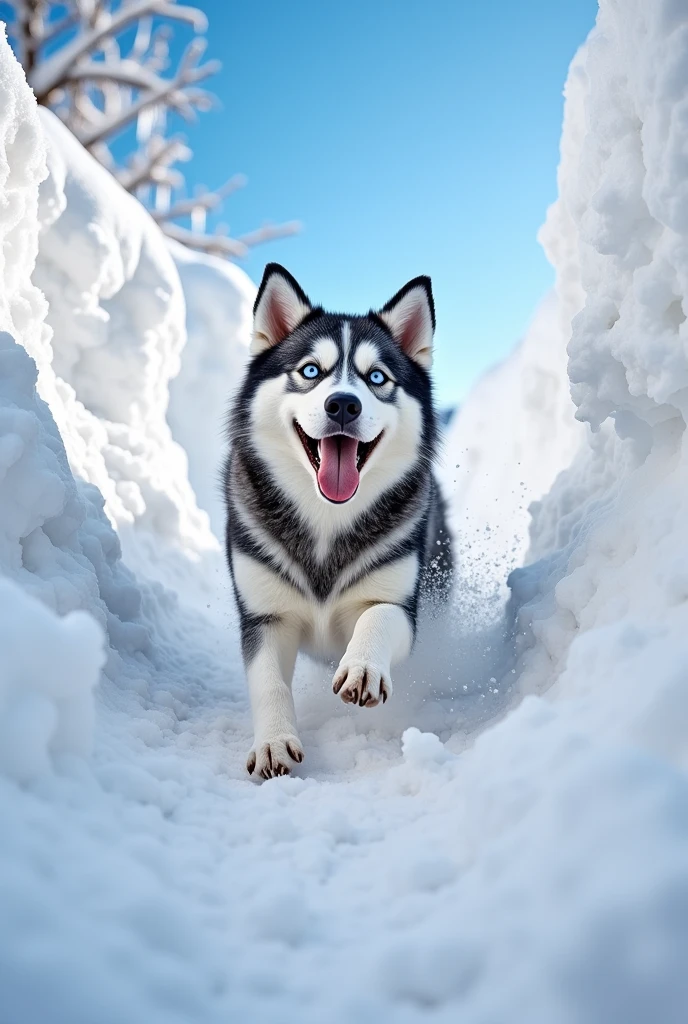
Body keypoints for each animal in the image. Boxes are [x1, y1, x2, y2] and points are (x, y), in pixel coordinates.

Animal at [224, 262, 450, 774]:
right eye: (311, 370)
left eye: (377, 377)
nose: (344, 403)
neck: (327, 520)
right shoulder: (265, 616)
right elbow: (267, 681)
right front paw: (274, 741)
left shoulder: (401, 605)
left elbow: (379, 617)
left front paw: (364, 667)